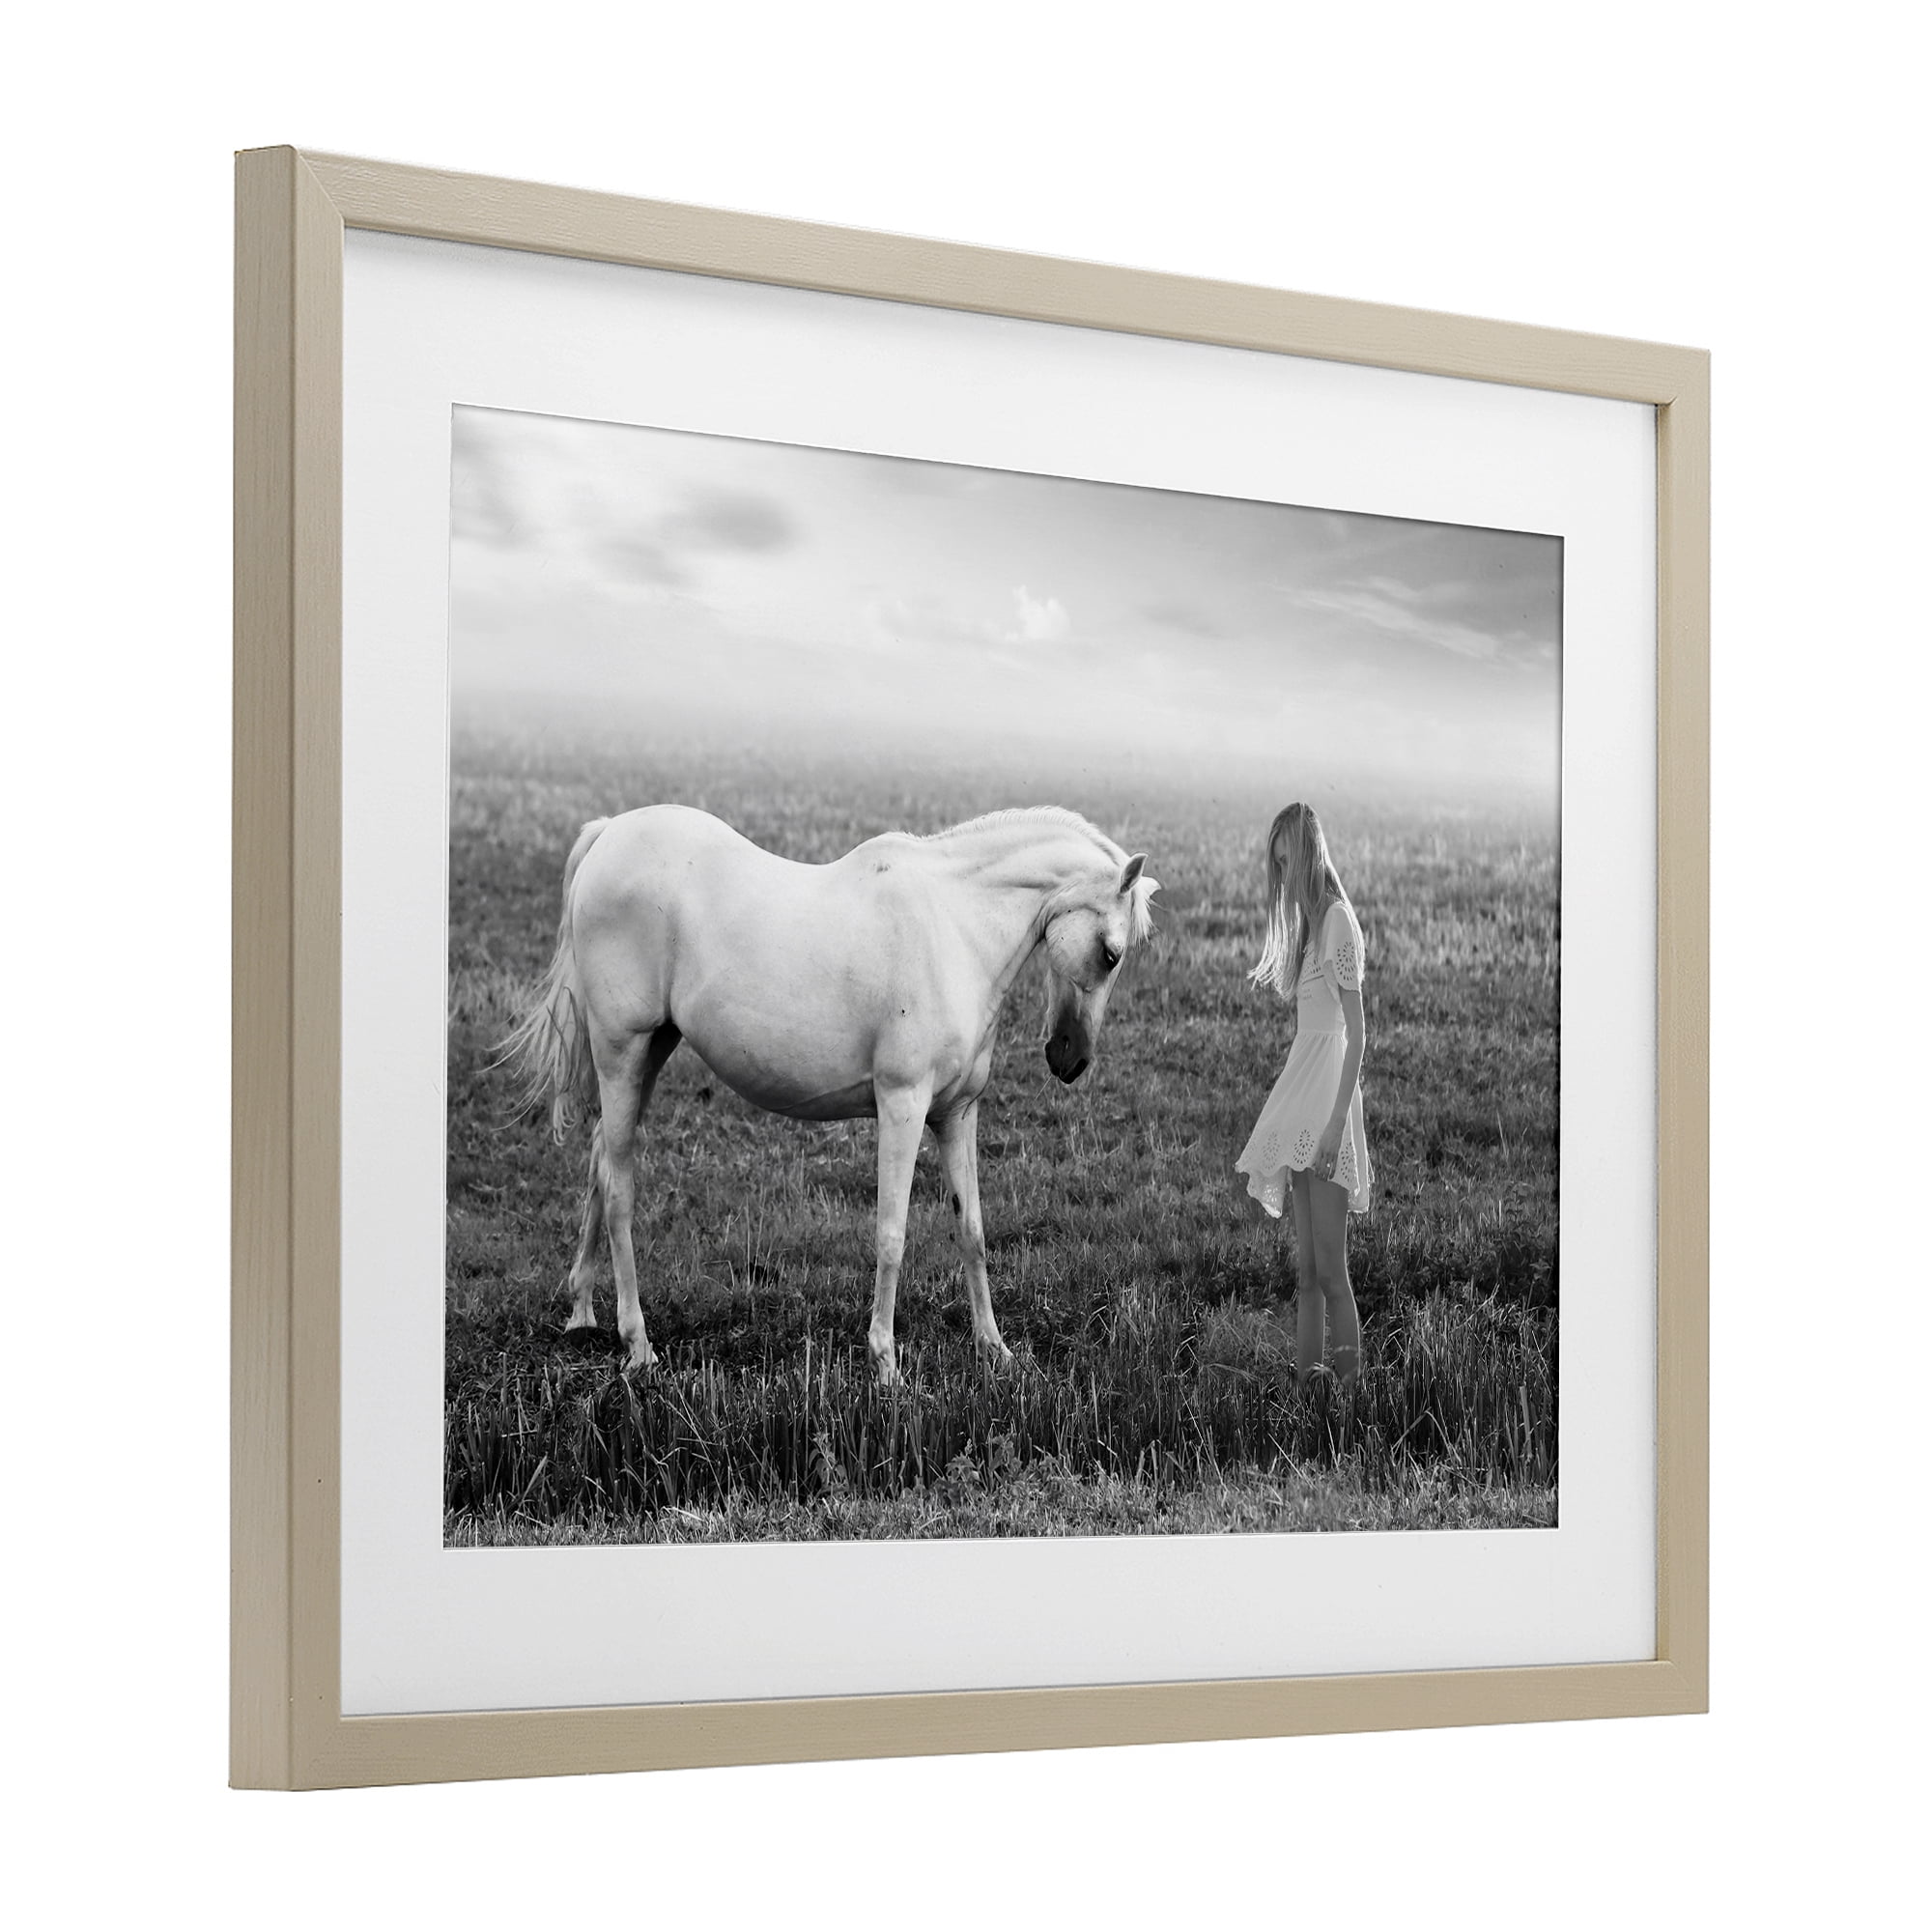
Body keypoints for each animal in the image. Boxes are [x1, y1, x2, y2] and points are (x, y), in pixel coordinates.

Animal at [499, 803, 1159, 1378]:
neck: (953, 927)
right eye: (1110, 954)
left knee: (600, 1164)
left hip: (650, 1052)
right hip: (622, 1051)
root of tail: (609, 833)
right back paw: (637, 1344)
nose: (1070, 1059)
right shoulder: (902, 1107)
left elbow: (971, 1229)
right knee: (618, 1191)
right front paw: (886, 1362)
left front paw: (994, 1349)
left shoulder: (956, 1114)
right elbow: (892, 1236)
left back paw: (583, 1311)